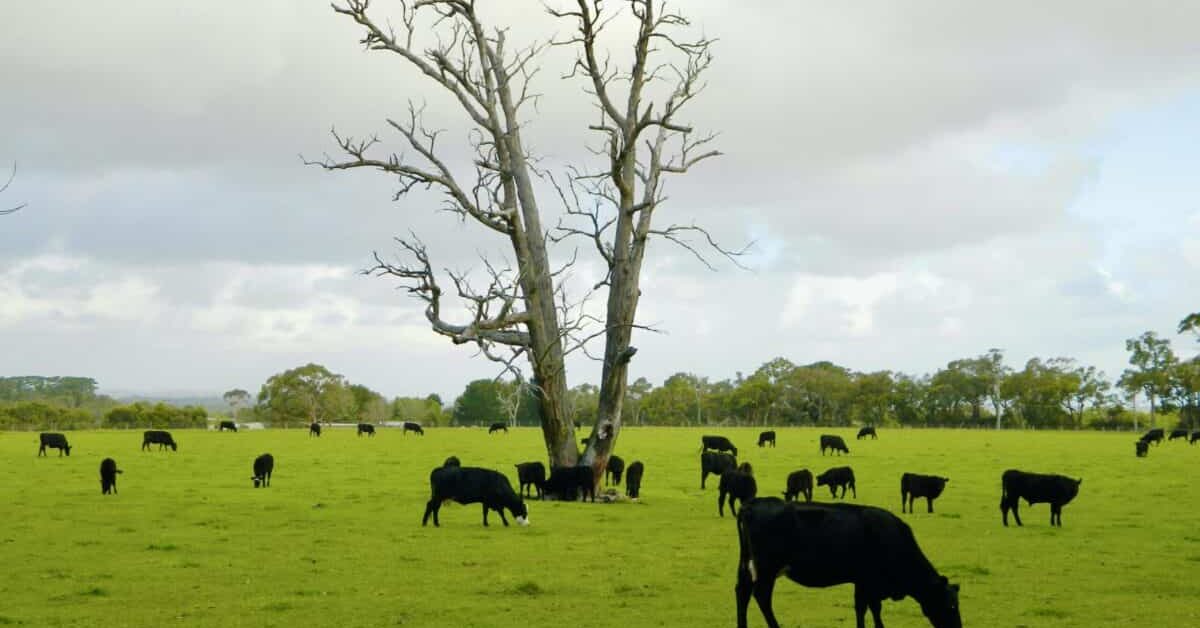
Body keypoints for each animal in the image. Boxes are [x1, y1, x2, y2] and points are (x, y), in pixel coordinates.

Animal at [729, 499, 964, 628]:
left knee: (742, 592)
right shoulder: (868, 580)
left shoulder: (864, 582)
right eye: (951, 606)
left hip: (747, 564)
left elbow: (867, 608)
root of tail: (752, 504)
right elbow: (868, 608)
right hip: (767, 568)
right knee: (761, 596)